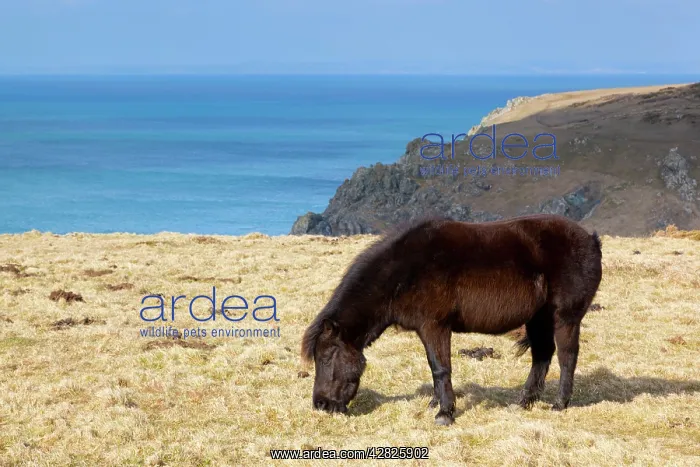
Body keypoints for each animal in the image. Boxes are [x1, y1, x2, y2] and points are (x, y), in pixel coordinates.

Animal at [301, 214, 603, 425]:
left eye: (326, 357)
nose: (320, 405)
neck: (405, 271)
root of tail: (590, 239)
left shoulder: (435, 326)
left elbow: (440, 367)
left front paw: (445, 413)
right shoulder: (427, 330)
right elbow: (434, 366)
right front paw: (436, 404)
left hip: (564, 317)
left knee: (566, 356)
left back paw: (560, 403)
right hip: (538, 318)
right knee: (542, 355)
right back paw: (524, 401)